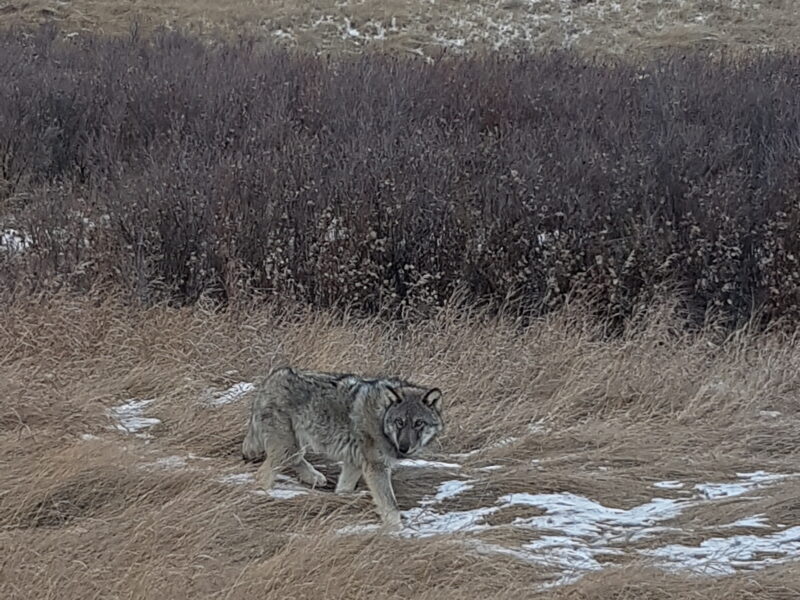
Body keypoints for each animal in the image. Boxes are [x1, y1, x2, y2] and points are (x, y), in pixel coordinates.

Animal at [244, 368, 444, 528]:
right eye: (400, 422)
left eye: (418, 423)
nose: (403, 448)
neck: (381, 419)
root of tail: (271, 379)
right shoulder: (376, 468)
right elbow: (391, 506)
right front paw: (397, 531)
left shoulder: (354, 464)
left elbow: (343, 489)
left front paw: (341, 502)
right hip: (286, 450)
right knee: (263, 474)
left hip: (294, 447)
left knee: (296, 459)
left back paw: (315, 476)